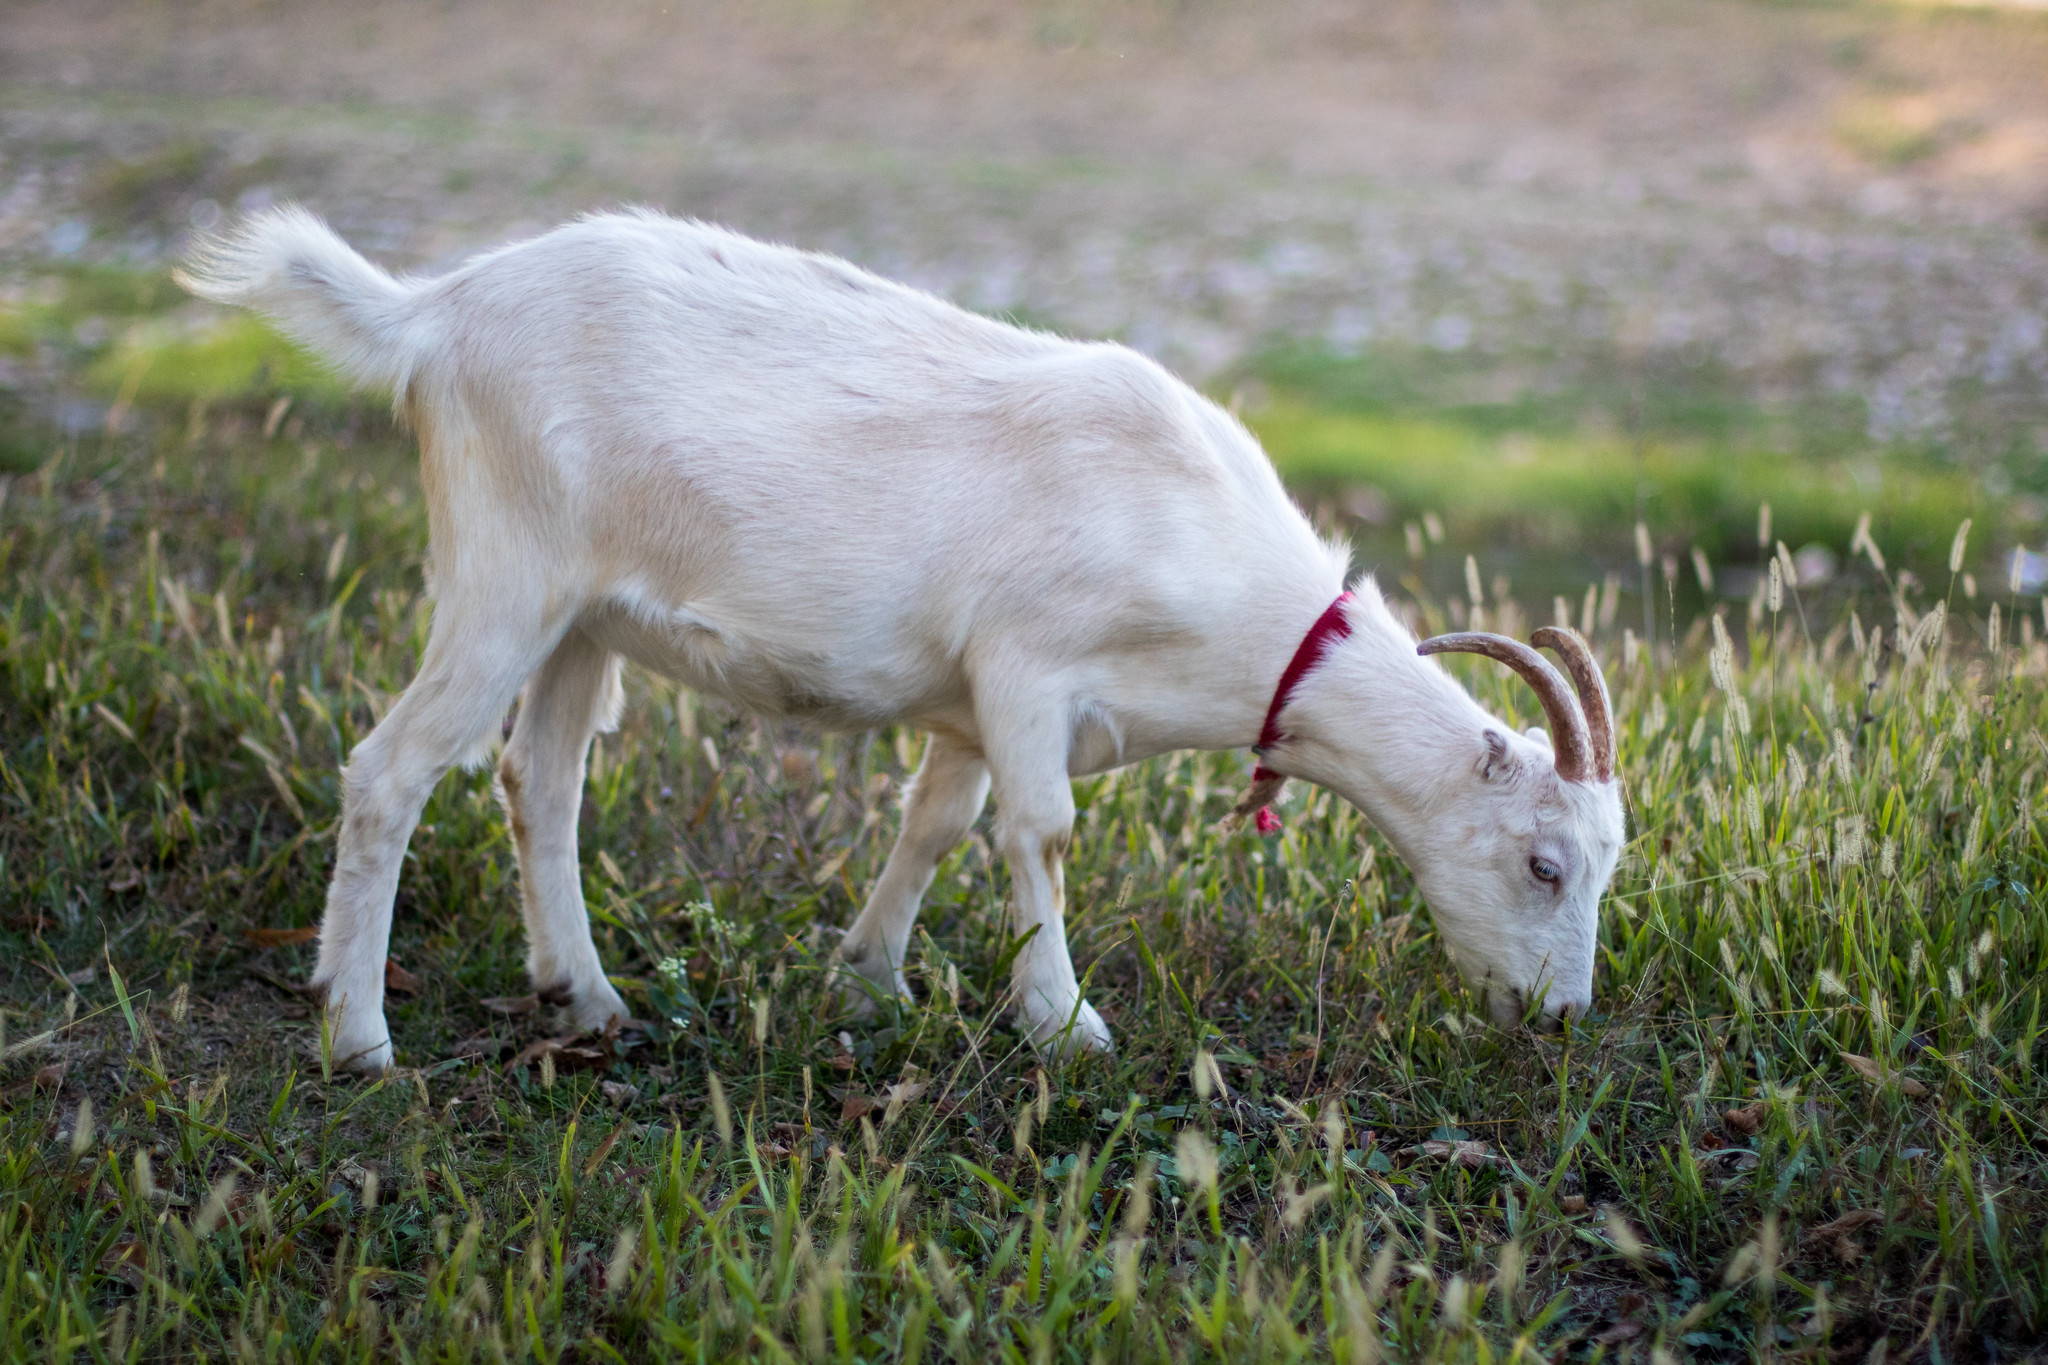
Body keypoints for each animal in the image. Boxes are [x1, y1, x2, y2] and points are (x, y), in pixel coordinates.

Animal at [179, 207, 1626, 1071]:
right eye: (1545, 862)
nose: (1558, 1019)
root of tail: (436, 314)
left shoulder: (969, 701)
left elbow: (936, 823)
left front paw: (866, 979)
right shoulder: (1029, 664)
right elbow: (1041, 833)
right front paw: (1067, 1023)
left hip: (583, 615)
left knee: (541, 779)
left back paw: (587, 998)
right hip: (502, 577)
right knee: (391, 769)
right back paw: (358, 1034)